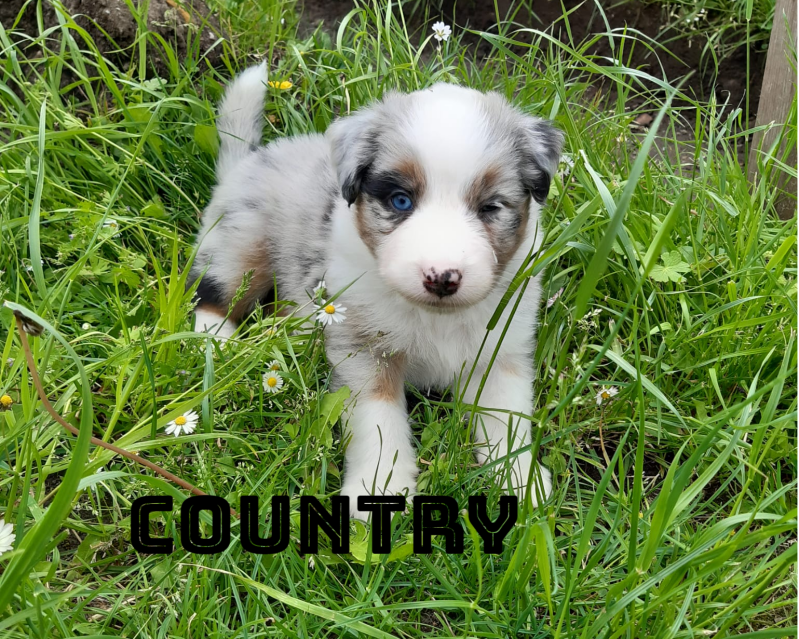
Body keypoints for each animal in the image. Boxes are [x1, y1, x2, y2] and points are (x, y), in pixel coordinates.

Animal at [189, 64, 562, 519]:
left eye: (490, 208)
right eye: (401, 201)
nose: (442, 278)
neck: (434, 318)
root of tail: (250, 158)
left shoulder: (502, 346)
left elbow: (505, 416)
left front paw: (520, 482)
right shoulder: (364, 350)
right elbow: (378, 422)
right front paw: (379, 488)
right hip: (241, 241)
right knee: (212, 292)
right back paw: (219, 345)